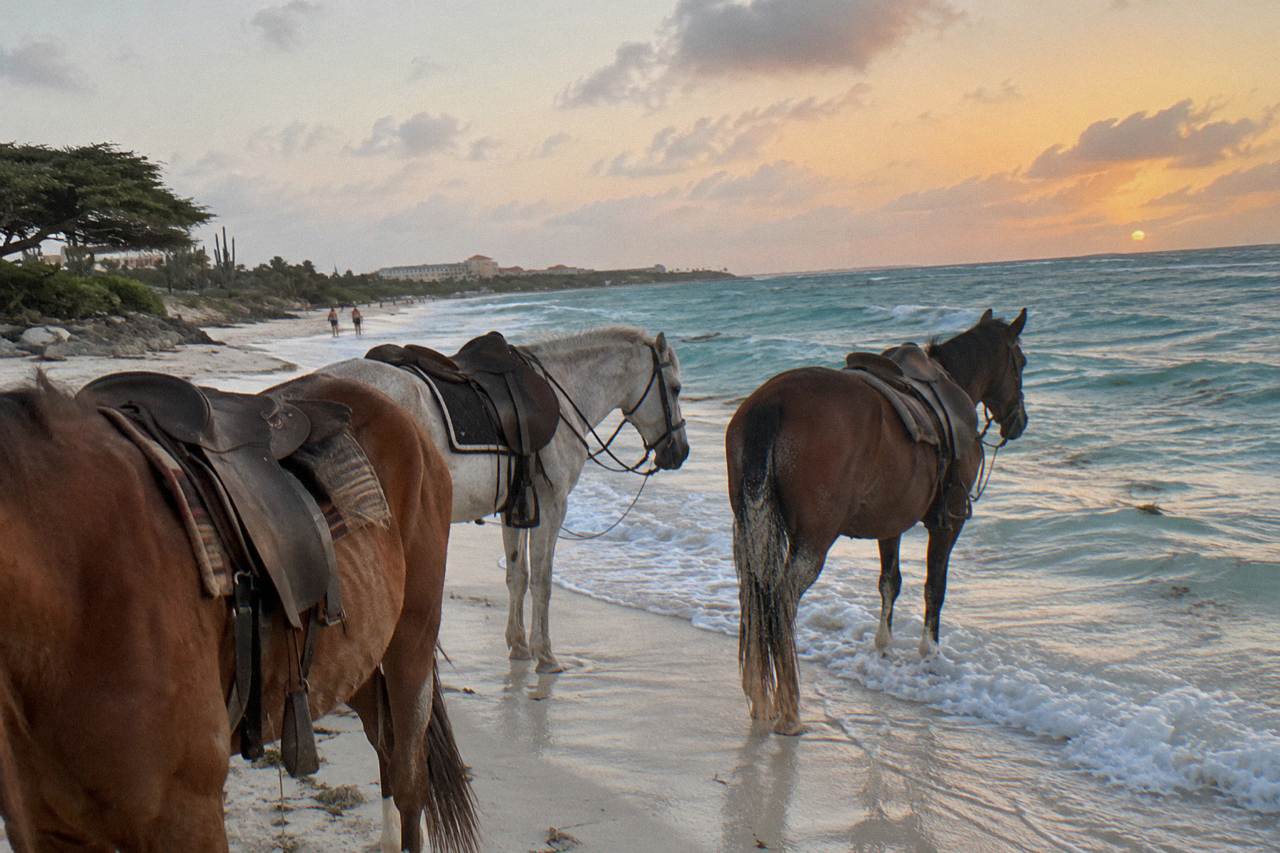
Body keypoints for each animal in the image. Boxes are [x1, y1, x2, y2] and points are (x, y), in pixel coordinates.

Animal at [0, 373, 478, 853]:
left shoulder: (188, 813)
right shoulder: (49, 830)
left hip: (411, 643)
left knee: (409, 780)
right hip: (352, 657)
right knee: (384, 741)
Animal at [319, 326, 690, 675]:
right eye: (675, 388)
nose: (681, 452)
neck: (562, 395)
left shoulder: (517, 508)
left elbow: (518, 576)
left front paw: (519, 646)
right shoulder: (552, 505)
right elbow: (542, 579)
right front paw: (545, 654)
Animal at [726, 308, 1028, 735]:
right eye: (1021, 362)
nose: (1019, 420)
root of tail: (772, 403)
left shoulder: (891, 524)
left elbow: (890, 583)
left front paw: (883, 645)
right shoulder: (948, 523)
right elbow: (935, 587)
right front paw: (929, 653)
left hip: (751, 528)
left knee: (754, 595)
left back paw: (760, 695)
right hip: (814, 539)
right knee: (782, 598)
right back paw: (789, 707)